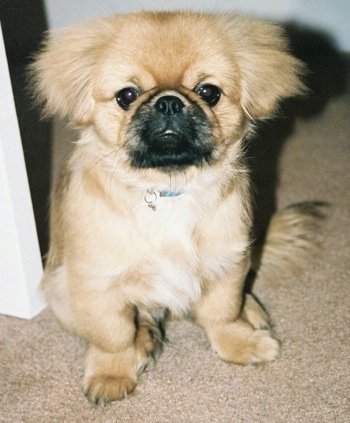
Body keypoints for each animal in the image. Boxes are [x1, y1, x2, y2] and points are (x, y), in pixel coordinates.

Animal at [30, 10, 322, 408]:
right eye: (127, 95)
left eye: (209, 92)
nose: (168, 102)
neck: (170, 190)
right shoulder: (96, 285)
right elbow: (112, 335)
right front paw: (112, 372)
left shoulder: (228, 261)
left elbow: (221, 312)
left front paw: (239, 343)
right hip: (58, 290)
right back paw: (145, 338)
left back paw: (251, 309)